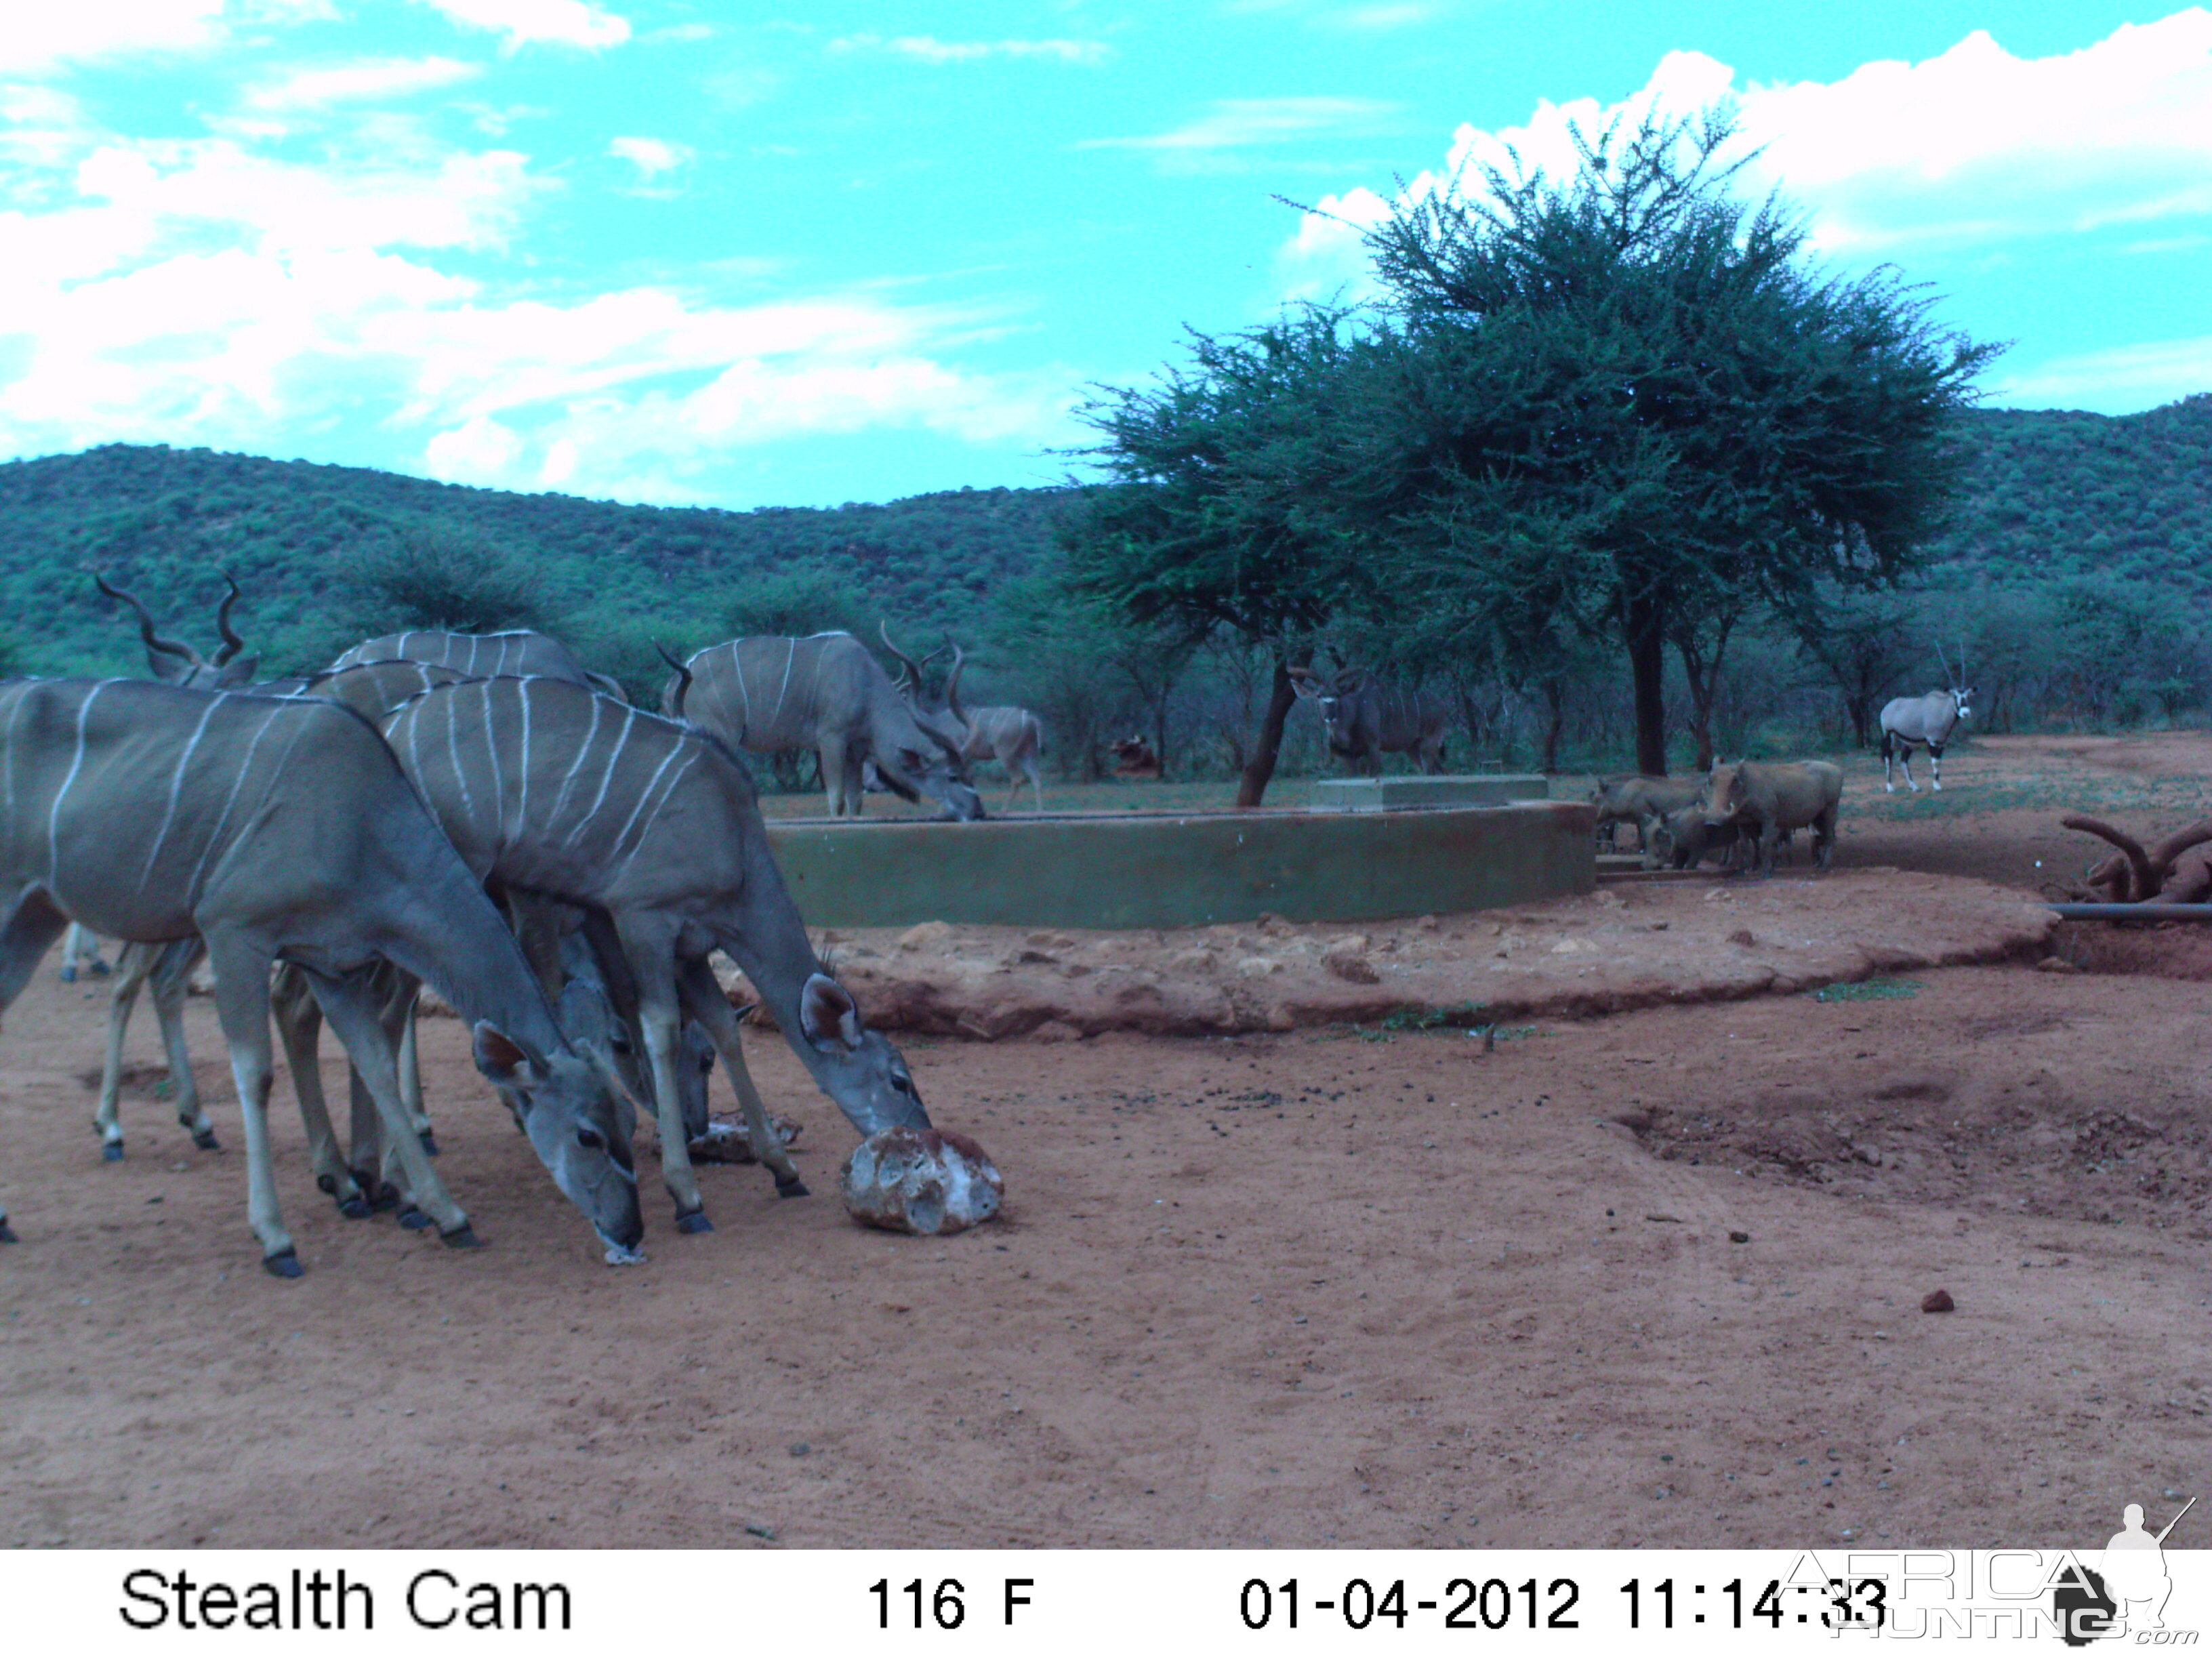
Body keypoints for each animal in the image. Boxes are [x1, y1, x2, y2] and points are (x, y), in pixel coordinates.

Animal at [0, 681, 646, 1283]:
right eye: (588, 1136)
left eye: (631, 1119)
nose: (631, 1230)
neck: (362, 820)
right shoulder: (233, 928)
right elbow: (256, 1073)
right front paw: (276, 1238)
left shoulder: (328, 963)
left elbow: (375, 1064)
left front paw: (445, 1214)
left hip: (37, 913)